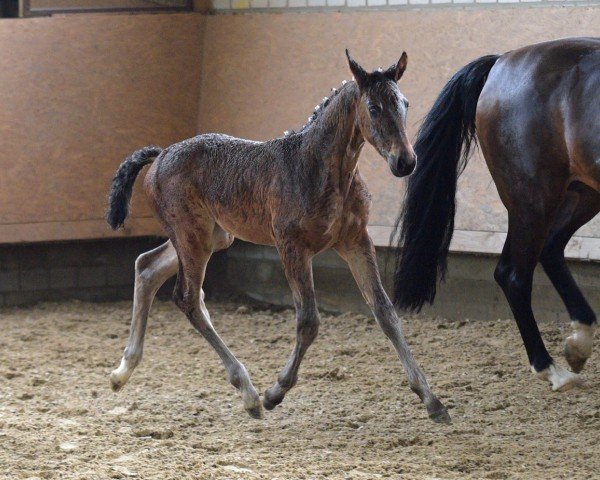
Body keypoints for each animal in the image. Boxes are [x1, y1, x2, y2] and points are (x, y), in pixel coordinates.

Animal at [106, 49, 450, 424]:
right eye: (373, 107)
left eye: (405, 103)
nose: (406, 161)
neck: (321, 169)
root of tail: (162, 154)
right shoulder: (291, 245)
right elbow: (309, 320)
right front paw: (276, 392)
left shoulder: (355, 240)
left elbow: (385, 312)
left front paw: (432, 400)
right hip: (191, 235)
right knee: (187, 298)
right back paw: (249, 394)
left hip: (210, 236)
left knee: (148, 267)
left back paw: (123, 371)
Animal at [394, 36, 600, 390]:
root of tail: (502, 61)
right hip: (533, 198)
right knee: (514, 274)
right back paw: (552, 369)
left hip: (579, 194)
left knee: (547, 250)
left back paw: (577, 346)